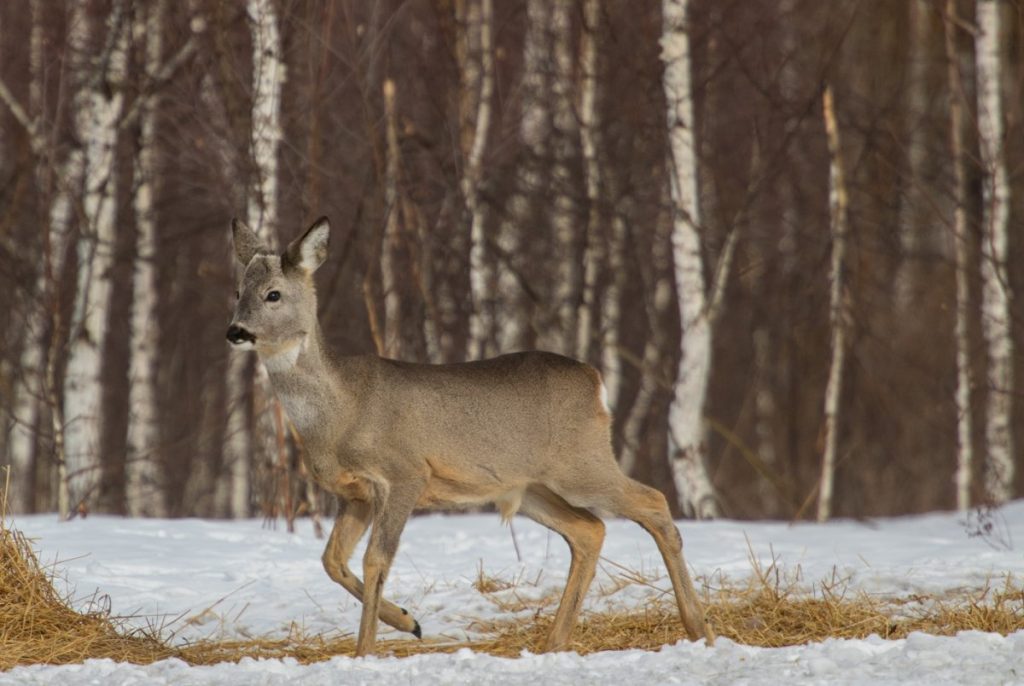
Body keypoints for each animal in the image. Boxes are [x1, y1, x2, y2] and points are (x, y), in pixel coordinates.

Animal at [228, 218, 716, 659]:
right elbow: (332, 560)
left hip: (581, 464)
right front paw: (407, 621)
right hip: (529, 487)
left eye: (273, 293)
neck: (340, 411)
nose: (236, 331)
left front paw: (366, 650)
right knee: (589, 529)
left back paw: (700, 629)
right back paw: (555, 643)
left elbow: (375, 559)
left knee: (653, 501)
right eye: (237, 292)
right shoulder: (355, 494)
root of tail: (595, 379)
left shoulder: (405, 474)